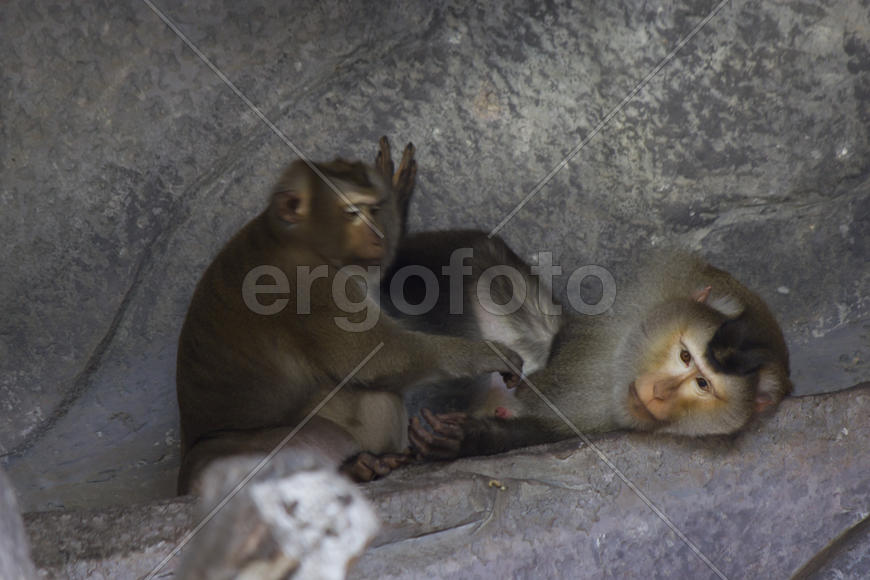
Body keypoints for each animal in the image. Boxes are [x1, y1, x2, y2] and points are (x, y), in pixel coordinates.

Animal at [176, 140, 523, 493]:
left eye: (373, 209)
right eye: (353, 212)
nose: (377, 234)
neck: (288, 235)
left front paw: (394, 194)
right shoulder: (308, 286)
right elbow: (379, 357)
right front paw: (483, 355)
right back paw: (354, 469)